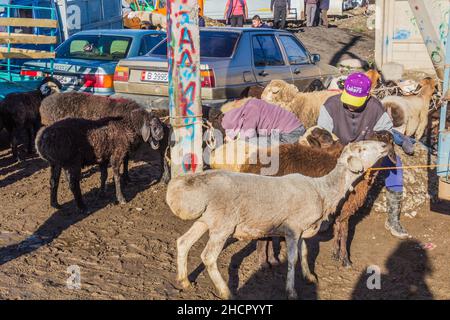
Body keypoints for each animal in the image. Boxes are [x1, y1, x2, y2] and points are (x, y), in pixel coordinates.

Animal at [167, 141, 388, 300]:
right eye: (362, 148)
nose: (385, 146)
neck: (323, 189)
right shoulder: (293, 229)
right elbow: (292, 259)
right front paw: (291, 291)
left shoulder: (302, 230)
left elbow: (304, 252)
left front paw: (309, 276)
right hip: (223, 226)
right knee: (208, 257)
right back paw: (226, 292)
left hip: (205, 221)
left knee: (183, 242)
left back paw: (184, 281)